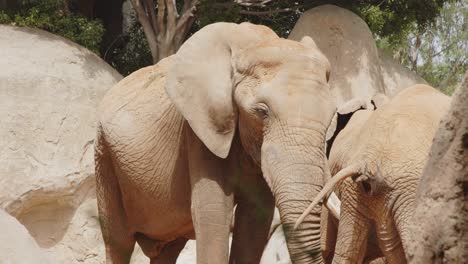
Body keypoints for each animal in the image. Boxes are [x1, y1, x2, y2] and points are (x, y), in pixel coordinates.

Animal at [95, 22, 336, 264]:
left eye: (332, 116)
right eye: (261, 112)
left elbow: (255, 218)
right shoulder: (198, 131)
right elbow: (214, 212)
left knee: (168, 248)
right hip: (104, 158)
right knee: (118, 242)